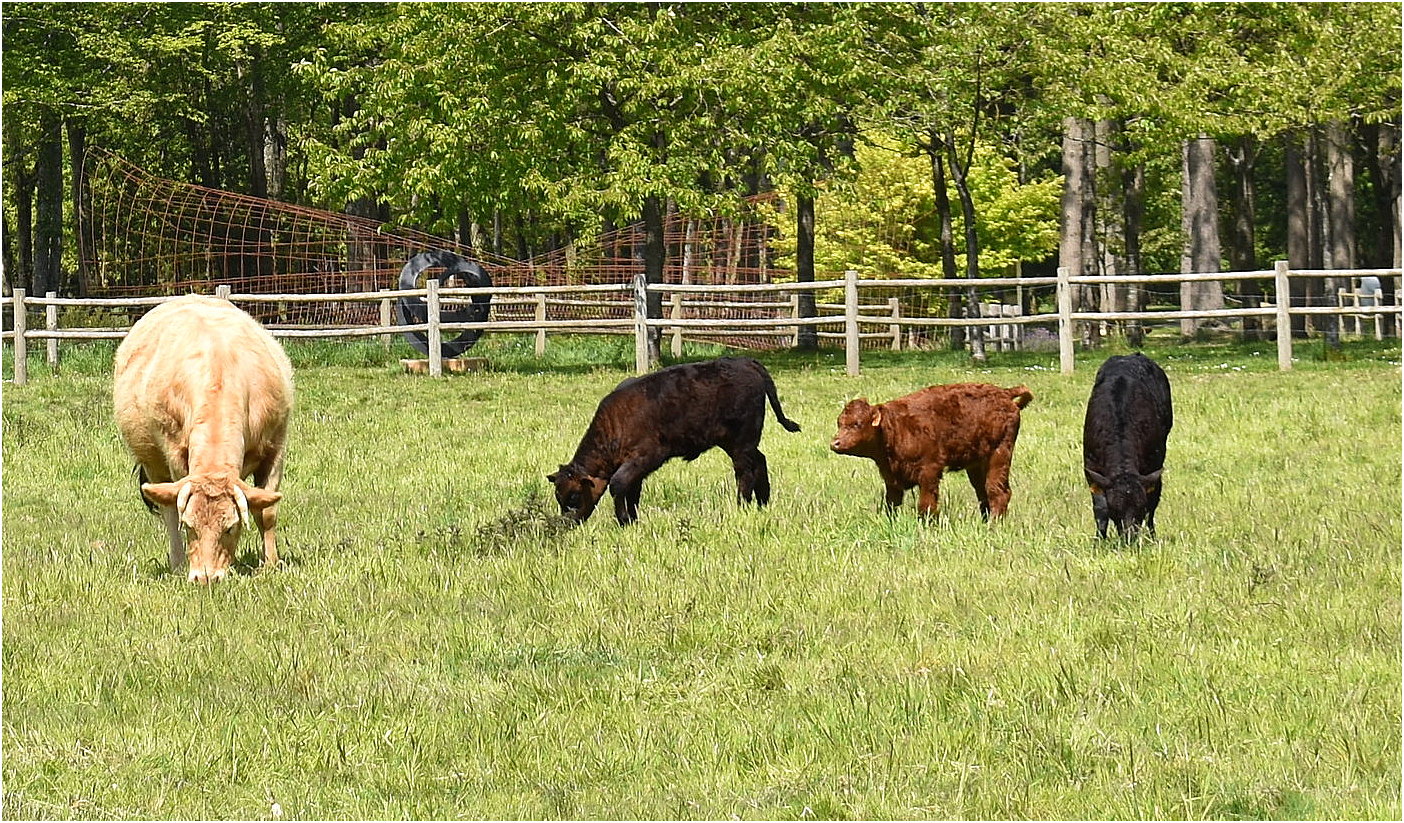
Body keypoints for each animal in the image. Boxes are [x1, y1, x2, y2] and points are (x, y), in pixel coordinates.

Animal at [115, 292, 299, 578]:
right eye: (191, 526)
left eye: (231, 527)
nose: (206, 577)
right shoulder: (175, 455)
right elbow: (176, 509)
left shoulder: (276, 448)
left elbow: (267, 512)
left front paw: (270, 564)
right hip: (153, 464)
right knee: (168, 511)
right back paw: (178, 563)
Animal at [825, 382, 1038, 519]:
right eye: (839, 423)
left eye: (857, 424)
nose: (835, 443)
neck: (894, 428)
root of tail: (1004, 393)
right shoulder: (891, 477)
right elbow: (892, 504)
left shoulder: (929, 471)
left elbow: (926, 504)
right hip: (976, 464)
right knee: (983, 492)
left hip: (999, 455)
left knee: (997, 492)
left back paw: (994, 524)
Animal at [1083, 351, 1173, 539]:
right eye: (1115, 510)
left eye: (1140, 509)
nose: (1129, 536)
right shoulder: (1090, 465)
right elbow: (1099, 508)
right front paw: (1099, 540)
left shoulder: (1154, 465)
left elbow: (1152, 503)